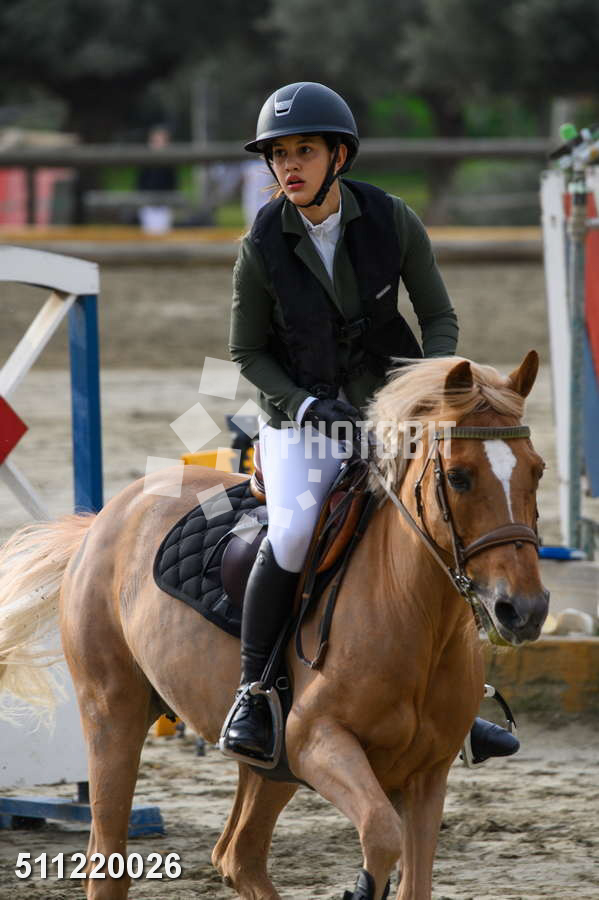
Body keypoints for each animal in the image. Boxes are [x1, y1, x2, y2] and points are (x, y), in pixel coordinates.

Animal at [0, 351, 548, 900]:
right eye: (458, 477)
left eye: (537, 471)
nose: (525, 609)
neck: (414, 612)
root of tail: (106, 516)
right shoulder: (316, 742)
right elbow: (380, 831)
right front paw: (360, 887)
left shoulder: (426, 774)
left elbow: (411, 874)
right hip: (113, 713)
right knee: (109, 857)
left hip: (269, 767)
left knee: (237, 856)